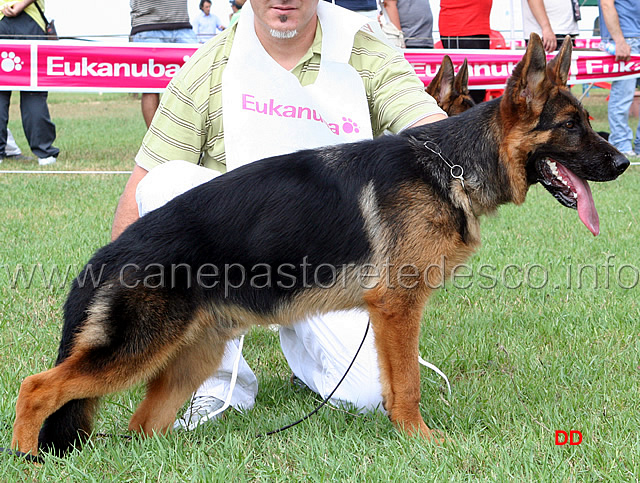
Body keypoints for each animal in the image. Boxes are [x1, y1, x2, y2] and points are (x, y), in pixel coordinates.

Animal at [10, 34, 632, 458]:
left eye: (587, 122)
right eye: (572, 126)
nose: (624, 162)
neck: (451, 166)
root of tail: (106, 255)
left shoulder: (390, 316)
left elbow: (393, 385)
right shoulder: (397, 309)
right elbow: (407, 386)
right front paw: (421, 440)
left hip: (188, 357)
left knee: (140, 426)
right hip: (134, 350)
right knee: (37, 388)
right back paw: (28, 457)